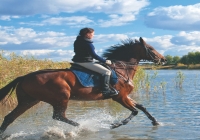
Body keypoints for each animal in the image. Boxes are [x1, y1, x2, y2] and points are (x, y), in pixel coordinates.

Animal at [0, 37, 166, 133]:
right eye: (151, 49)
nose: (163, 59)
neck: (121, 69)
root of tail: (24, 76)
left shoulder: (125, 96)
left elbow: (142, 107)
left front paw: (156, 122)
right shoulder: (120, 97)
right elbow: (135, 111)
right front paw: (114, 125)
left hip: (29, 100)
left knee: (9, 118)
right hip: (61, 98)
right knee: (59, 116)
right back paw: (84, 126)